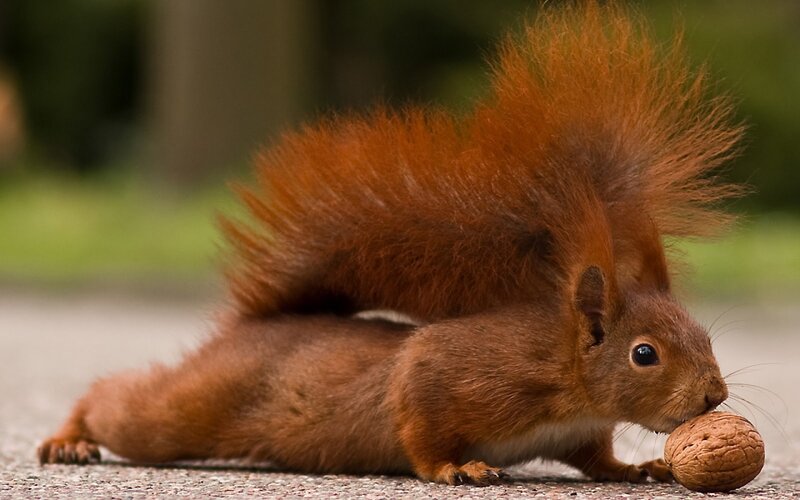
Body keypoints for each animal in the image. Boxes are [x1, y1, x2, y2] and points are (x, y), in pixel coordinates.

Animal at [39, 1, 739, 486]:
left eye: (705, 337)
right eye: (644, 354)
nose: (715, 398)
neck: (568, 377)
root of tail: (252, 327)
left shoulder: (579, 434)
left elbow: (597, 459)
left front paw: (634, 468)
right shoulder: (452, 372)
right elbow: (416, 413)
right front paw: (455, 469)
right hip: (189, 410)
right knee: (121, 403)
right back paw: (69, 437)